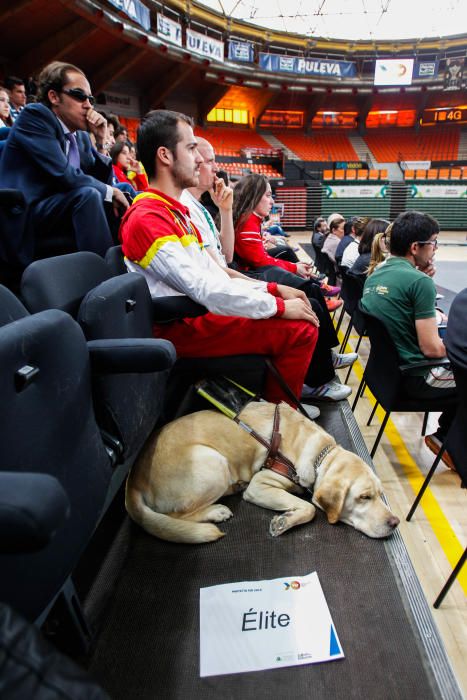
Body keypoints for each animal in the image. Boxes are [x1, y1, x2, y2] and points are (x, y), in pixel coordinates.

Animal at [126, 402, 400, 544]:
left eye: (381, 494)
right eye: (364, 497)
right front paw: (285, 521)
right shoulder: (260, 484)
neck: (321, 455)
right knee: (177, 515)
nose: (395, 522)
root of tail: (133, 480)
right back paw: (216, 511)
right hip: (212, 462)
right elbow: (310, 507)